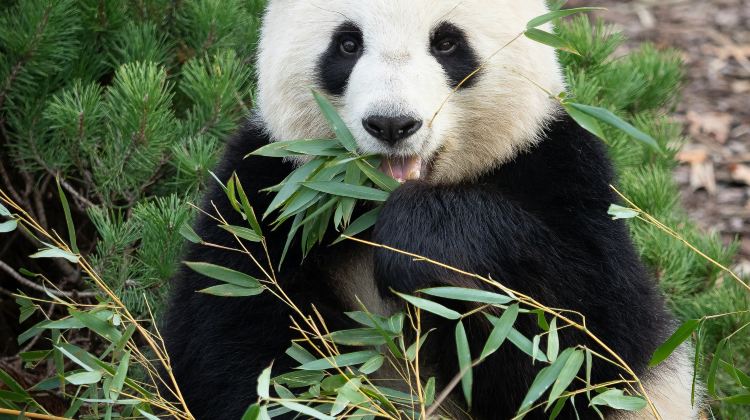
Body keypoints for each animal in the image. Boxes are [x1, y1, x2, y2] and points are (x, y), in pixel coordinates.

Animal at [163, 1, 699, 419]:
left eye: (446, 43)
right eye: (347, 44)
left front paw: (419, 243)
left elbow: (587, 345)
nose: (391, 124)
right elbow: (236, 350)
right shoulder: (263, 197)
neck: (368, 204)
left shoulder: (560, 168)